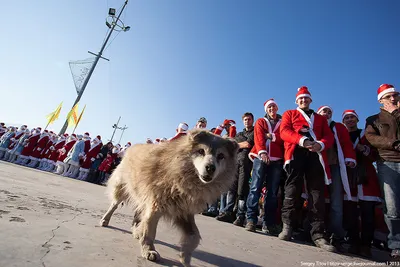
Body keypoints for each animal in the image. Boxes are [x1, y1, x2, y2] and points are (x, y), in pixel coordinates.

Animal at [100, 129, 238, 266]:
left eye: (221, 156)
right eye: (201, 151)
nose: (210, 168)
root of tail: (133, 147)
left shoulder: (184, 211)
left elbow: (195, 236)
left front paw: (185, 256)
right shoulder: (155, 205)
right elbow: (150, 231)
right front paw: (148, 250)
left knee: (138, 213)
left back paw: (136, 230)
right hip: (122, 187)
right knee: (114, 205)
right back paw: (105, 220)